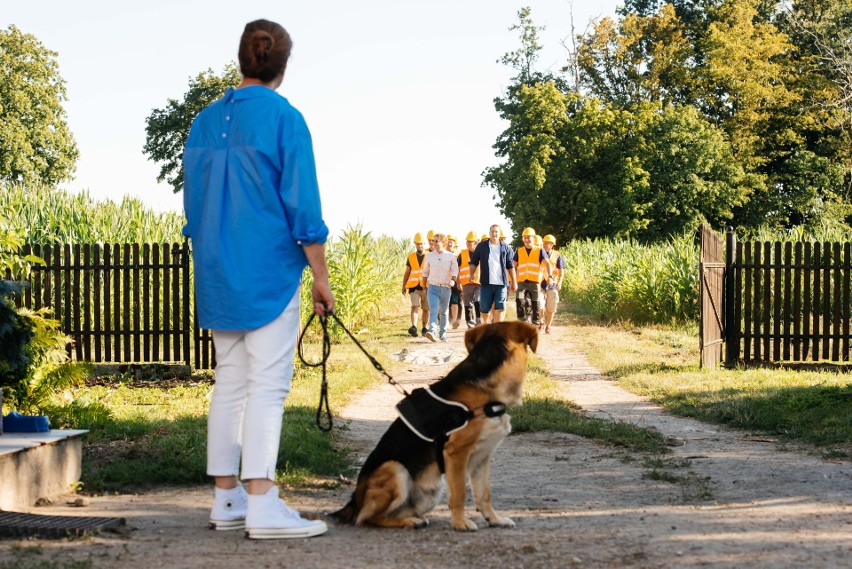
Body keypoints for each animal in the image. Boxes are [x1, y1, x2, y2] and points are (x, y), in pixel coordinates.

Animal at [332, 320, 540, 528]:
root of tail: (354, 500)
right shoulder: (457, 453)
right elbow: (459, 493)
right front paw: (460, 523)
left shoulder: (482, 457)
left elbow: (484, 495)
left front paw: (494, 519)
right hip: (395, 469)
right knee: (365, 518)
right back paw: (409, 522)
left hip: (430, 492)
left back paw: (412, 519)